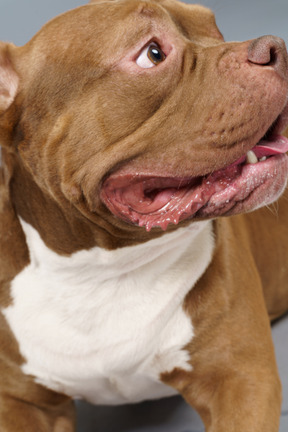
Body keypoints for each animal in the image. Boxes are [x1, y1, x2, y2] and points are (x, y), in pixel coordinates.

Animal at [0, 0, 288, 430]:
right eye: (152, 54)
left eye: (216, 30)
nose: (276, 47)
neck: (101, 273)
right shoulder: (22, 403)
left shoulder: (242, 380)